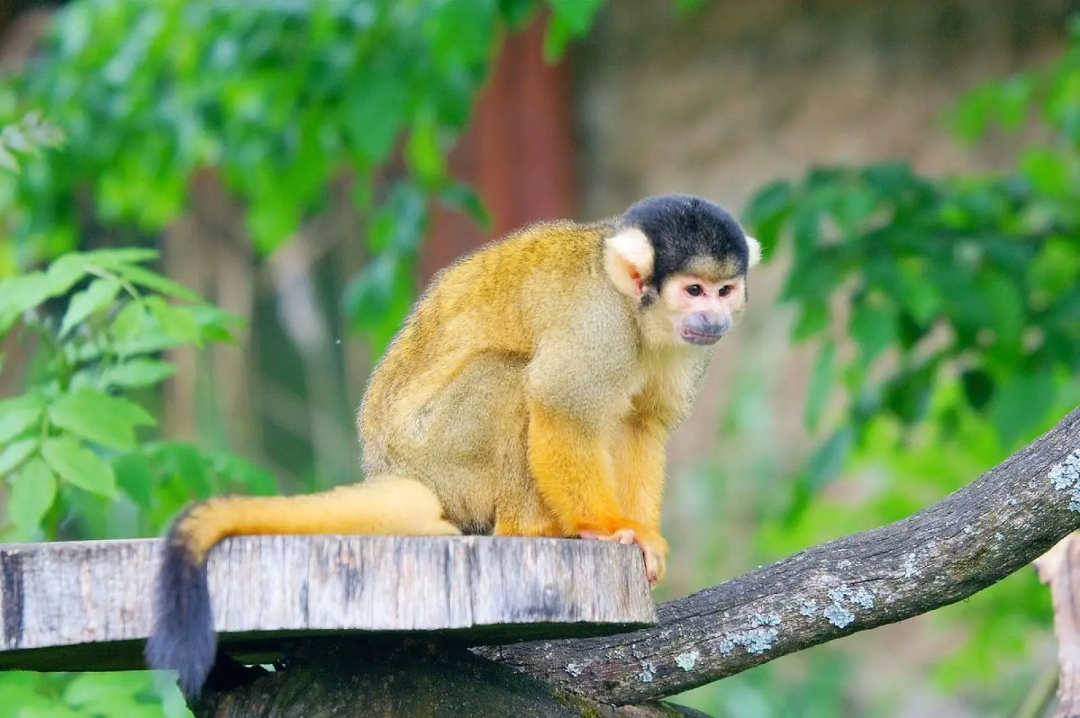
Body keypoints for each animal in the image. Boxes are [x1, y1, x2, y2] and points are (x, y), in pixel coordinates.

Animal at [144, 193, 762, 698]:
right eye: (693, 289)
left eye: (724, 290)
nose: (713, 315)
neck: (639, 314)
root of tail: (390, 468)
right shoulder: (598, 324)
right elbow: (561, 405)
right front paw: (608, 527)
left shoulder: (684, 349)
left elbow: (642, 424)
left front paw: (645, 537)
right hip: (439, 456)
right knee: (510, 379)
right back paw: (531, 530)